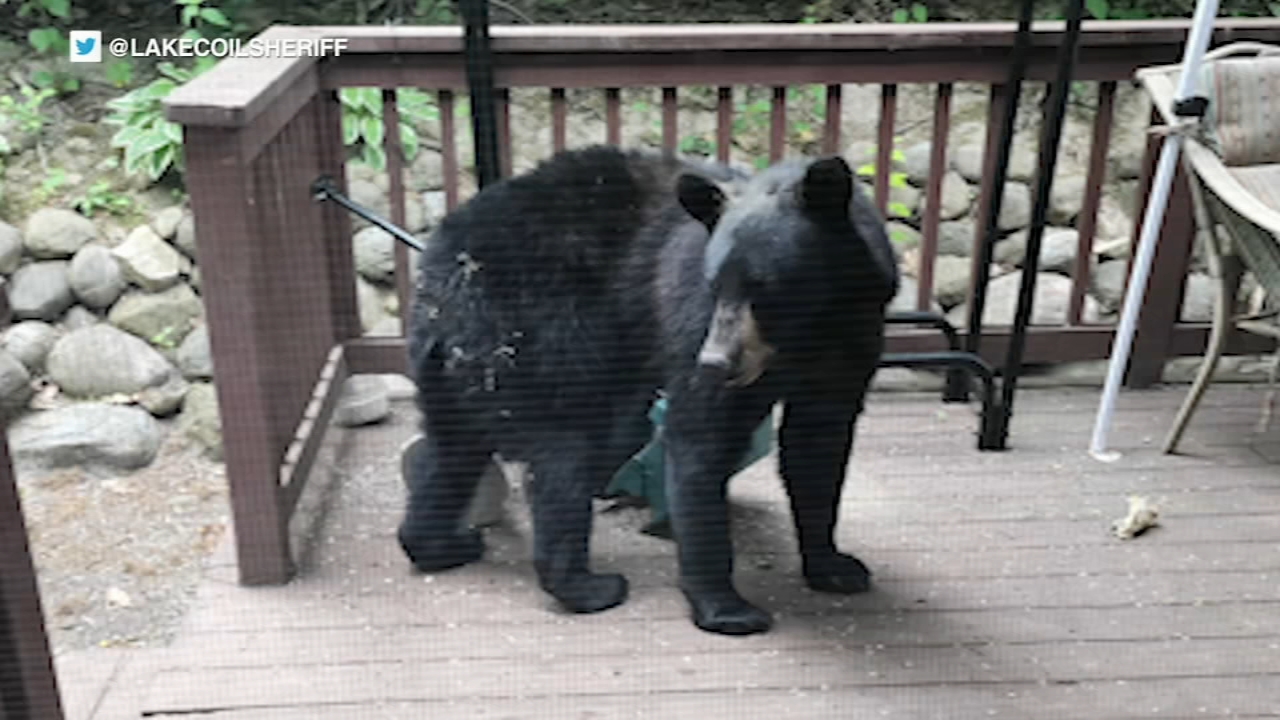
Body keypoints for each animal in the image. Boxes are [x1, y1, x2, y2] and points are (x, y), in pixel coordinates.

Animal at [399, 144, 899, 636]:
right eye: (714, 285)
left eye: (766, 288)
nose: (715, 362)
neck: (807, 331)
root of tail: (444, 279)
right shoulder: (695, 323)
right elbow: (701, 436)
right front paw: (725, 607)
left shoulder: (853, 336)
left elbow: (818, 445)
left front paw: (833, 566)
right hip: (536, 332)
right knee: (568, 449)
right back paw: (586, 585)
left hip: (460, 369)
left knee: (451, 452)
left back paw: (439, 544)